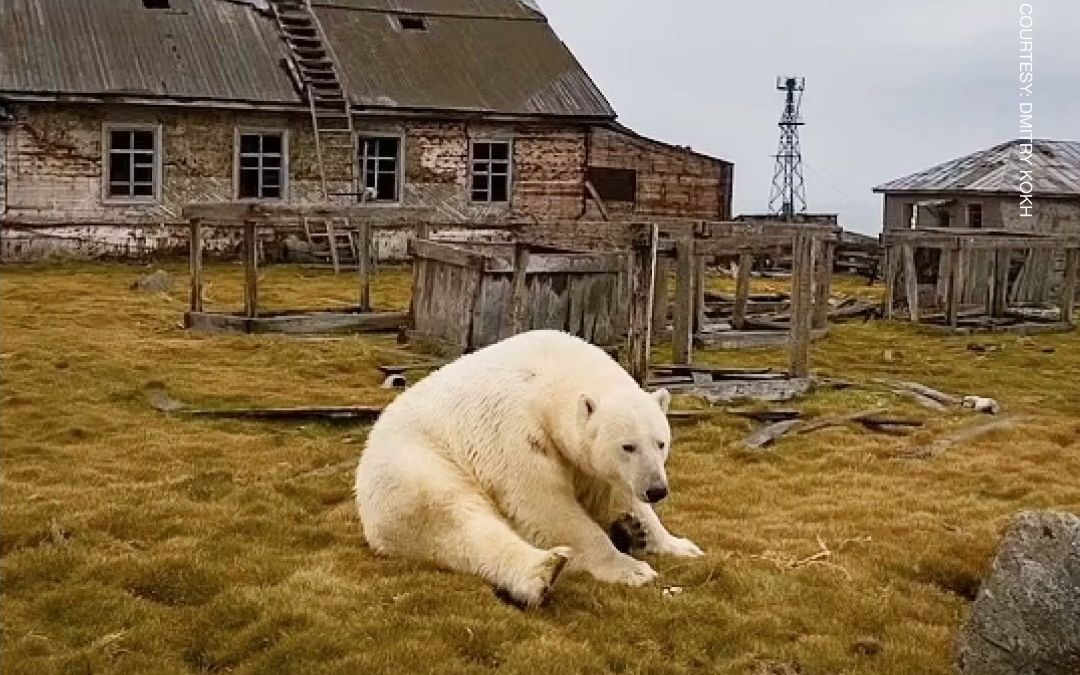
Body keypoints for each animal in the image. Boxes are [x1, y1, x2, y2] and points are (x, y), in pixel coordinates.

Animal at [354, 328, 704, 609]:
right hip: (418, 469)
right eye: (627, 446)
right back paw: (544, 571)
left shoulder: (588, 465)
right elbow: (542, 503)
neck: (551, 372)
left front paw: (676, 543)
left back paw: (630, 532)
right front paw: (631, 568)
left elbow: (615, 491)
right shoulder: (516, 431)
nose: (657, 489)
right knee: (459, 521)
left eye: (660, 443)